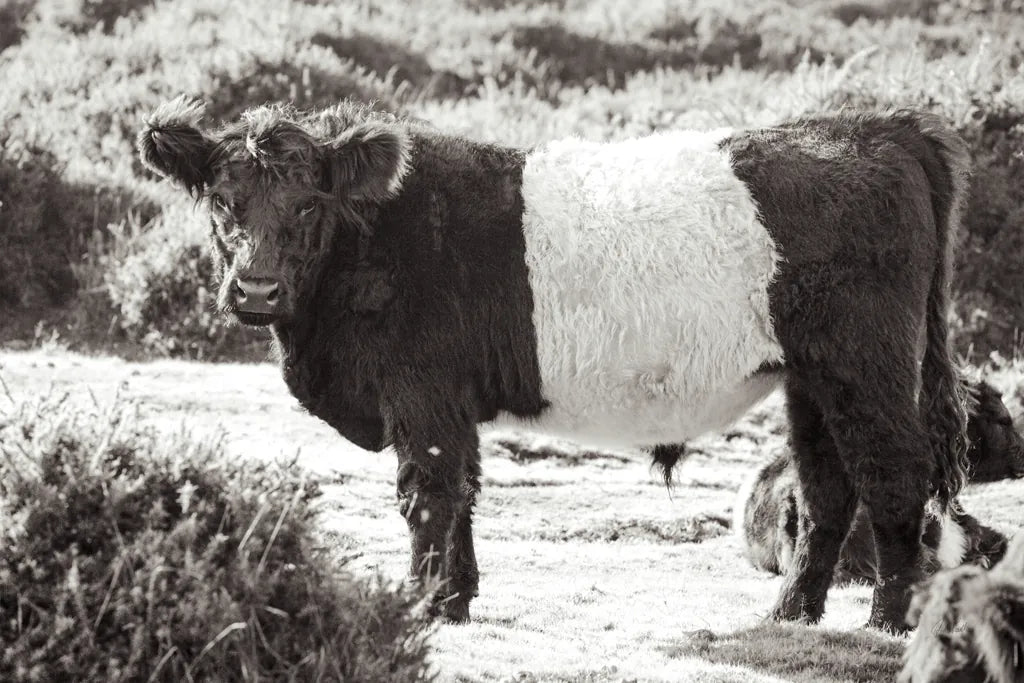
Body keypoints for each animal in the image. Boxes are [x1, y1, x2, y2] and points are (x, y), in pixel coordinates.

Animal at [138, 97, 970, 631]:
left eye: (308, 205)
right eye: (221, 201)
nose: (256, 289)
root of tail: (878, 127)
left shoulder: (421, 394)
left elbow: (428, 497)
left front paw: (422, 603)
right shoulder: (449, 404)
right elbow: (464, 495)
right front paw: (456, 599)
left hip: (865, 361)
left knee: (893, 474)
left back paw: (887, 618)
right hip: (813, 376)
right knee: (827, 486)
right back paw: (792, 612)